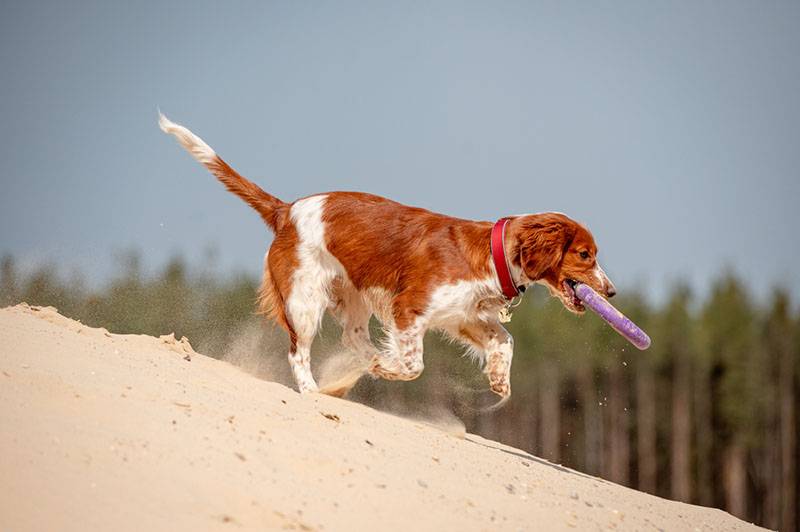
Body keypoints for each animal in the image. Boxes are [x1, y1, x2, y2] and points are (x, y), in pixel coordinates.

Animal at [159, 113, 616, 404]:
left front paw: (499, 380)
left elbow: (505, 340)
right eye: (585, 254)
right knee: (298, 351)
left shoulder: (463, 317)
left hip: (354, 296)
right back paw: (314, 389)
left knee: (353, 337)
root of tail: (286, 209)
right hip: (305, 300)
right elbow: (414, 365)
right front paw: (389, 370)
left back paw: (365, 363)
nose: (611, 291)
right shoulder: (409, 308)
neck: (490, 254)